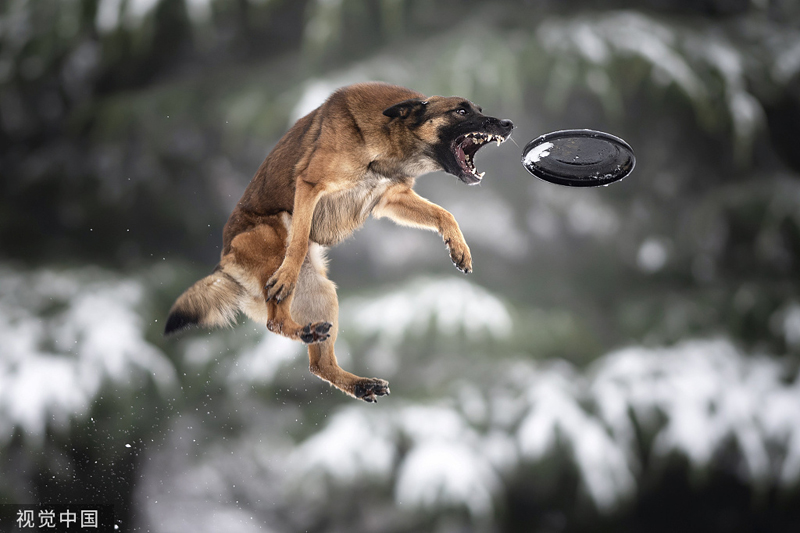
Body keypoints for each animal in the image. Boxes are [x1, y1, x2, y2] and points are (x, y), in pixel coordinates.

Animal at [166, 81, 516, 402]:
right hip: (272, 233)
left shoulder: (391, 197)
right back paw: (302, 325)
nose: (508, 124)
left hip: (324, 293)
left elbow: (446, 214)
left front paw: (459, 249)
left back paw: (358, 382)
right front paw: (287, 274)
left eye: (480, 109)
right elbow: (298, 241)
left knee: (318, 364)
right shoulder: (309, 185)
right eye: (461, 111)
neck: (389, 136)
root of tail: (224, 265)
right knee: (274, 321)